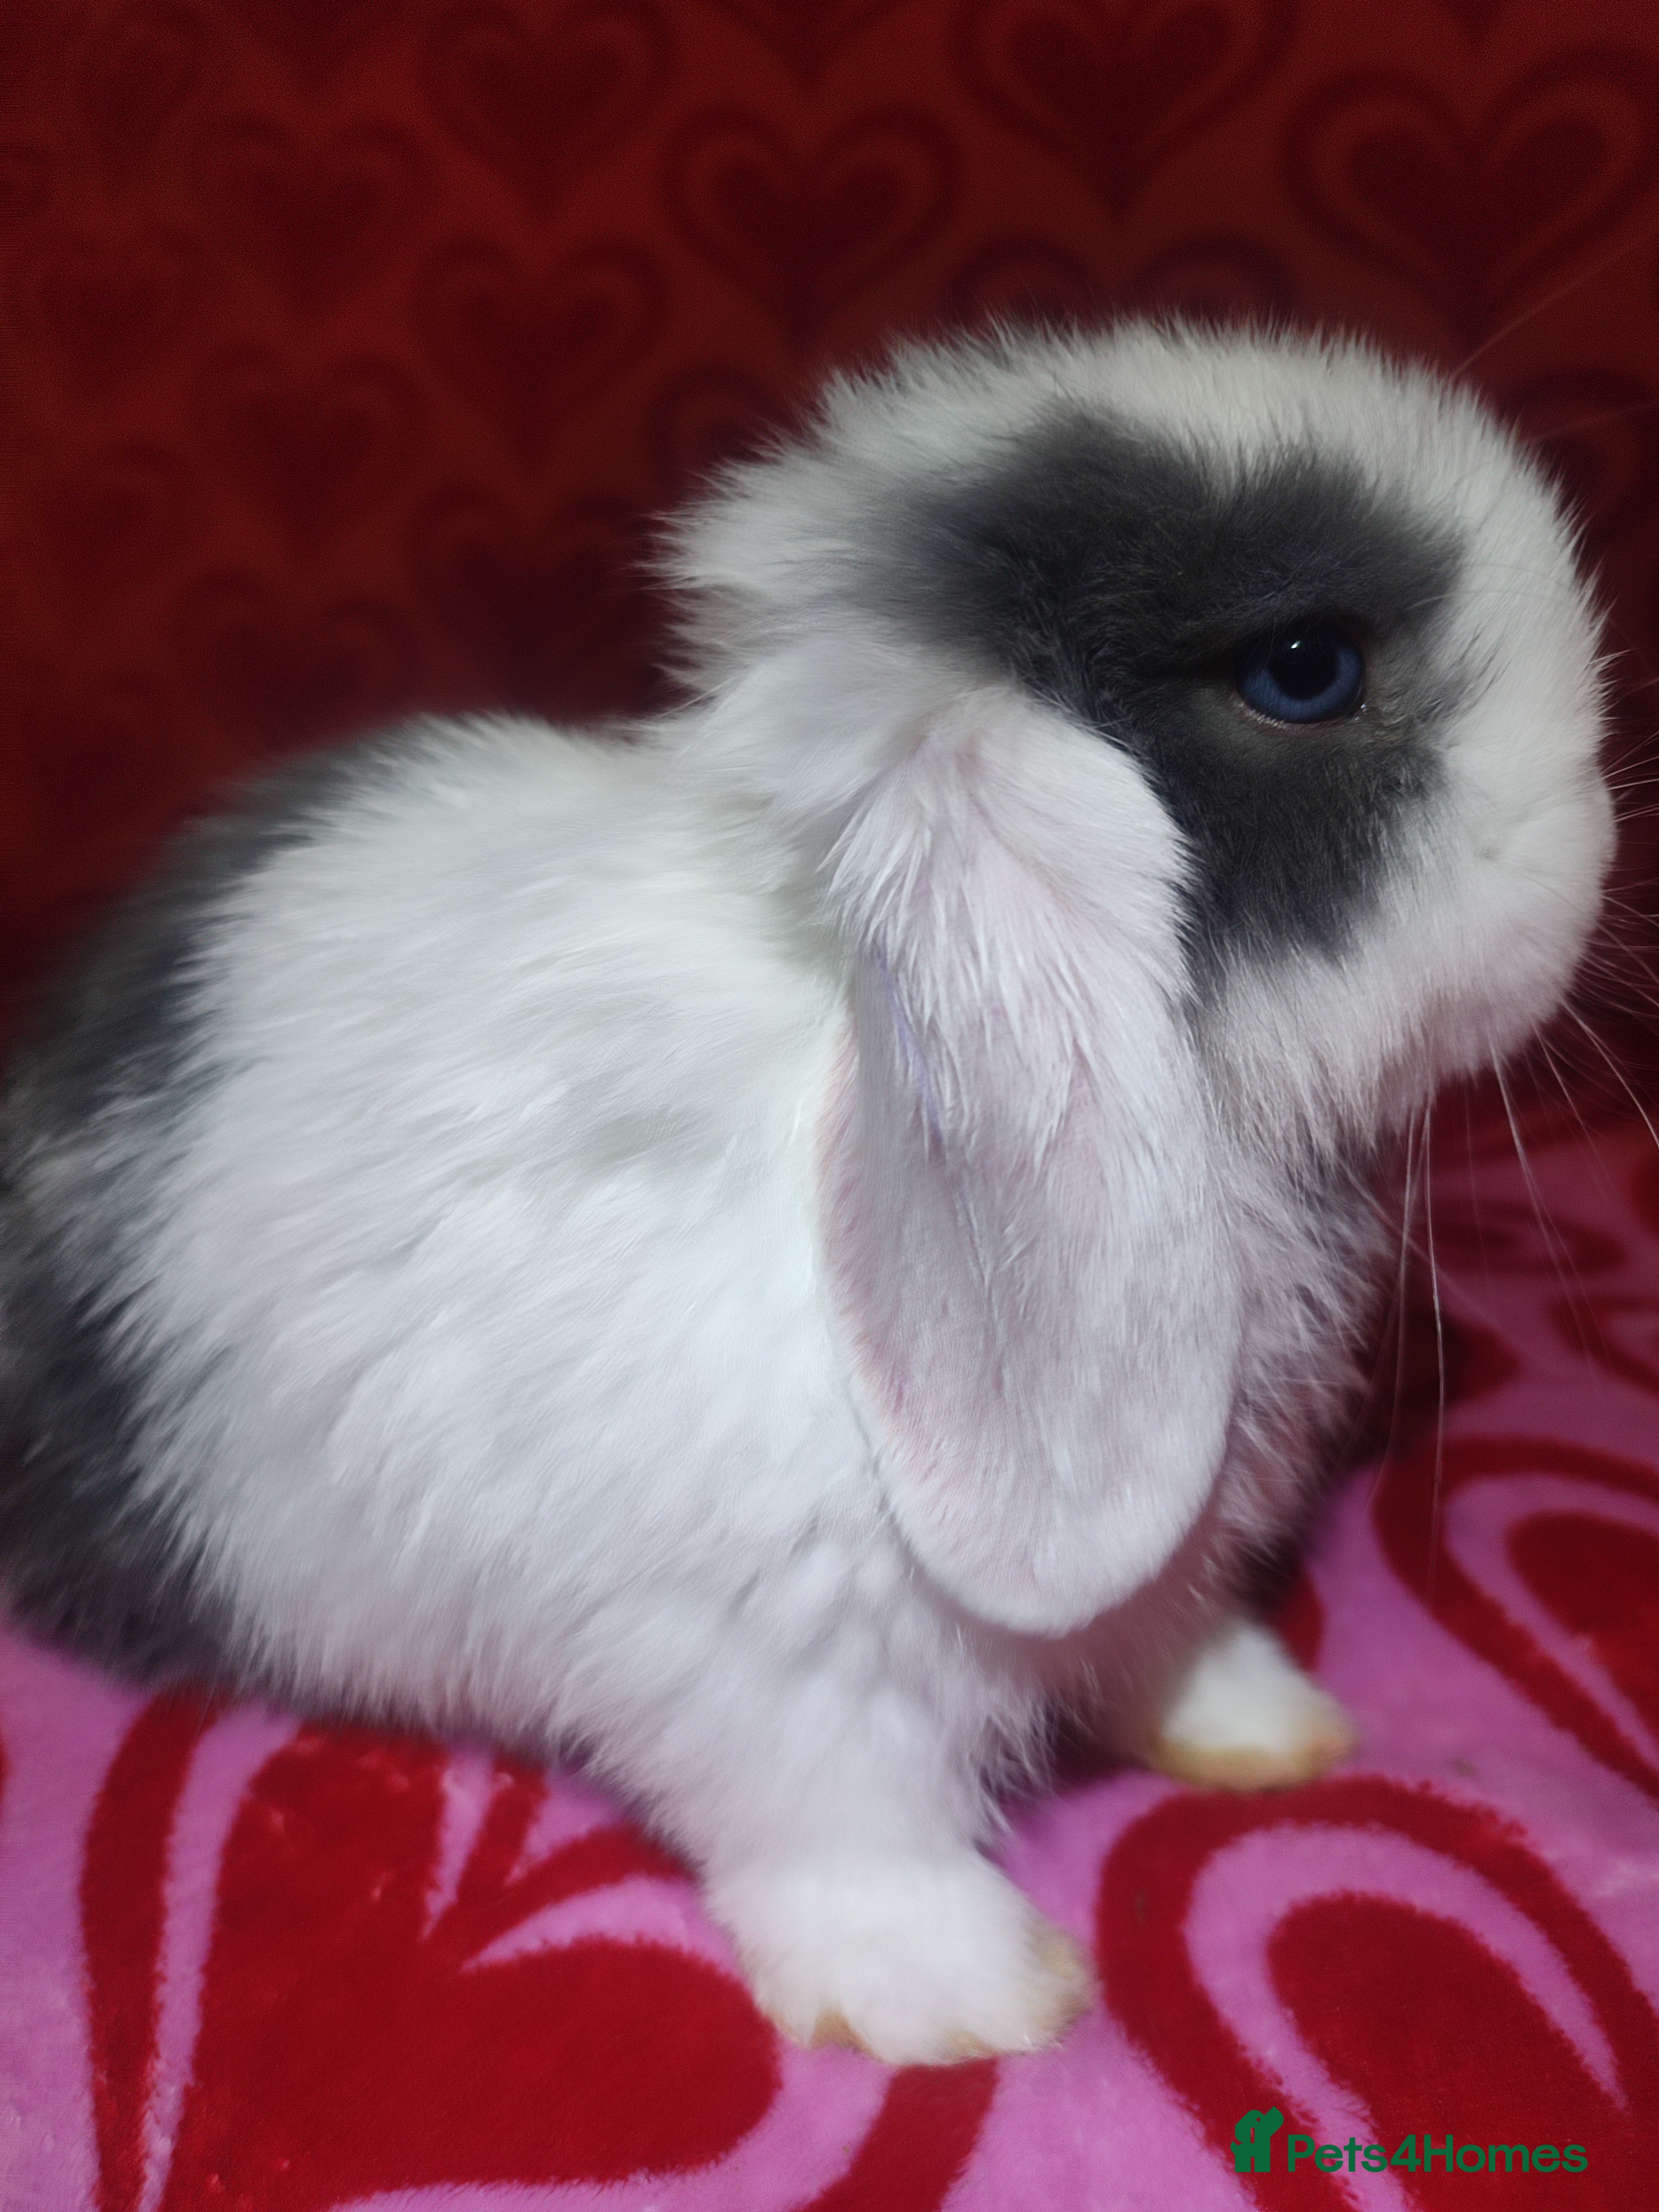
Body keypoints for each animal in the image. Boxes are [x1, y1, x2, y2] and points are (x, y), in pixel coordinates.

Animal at [0, 322, 1613, 2064]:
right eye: (1306, 669)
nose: (1593, 844)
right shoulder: (771, 1661)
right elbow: (842, 1823)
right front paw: (965, 1999)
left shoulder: (1159, 1564)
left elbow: (1168, 1639)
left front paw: (1270, 1732)